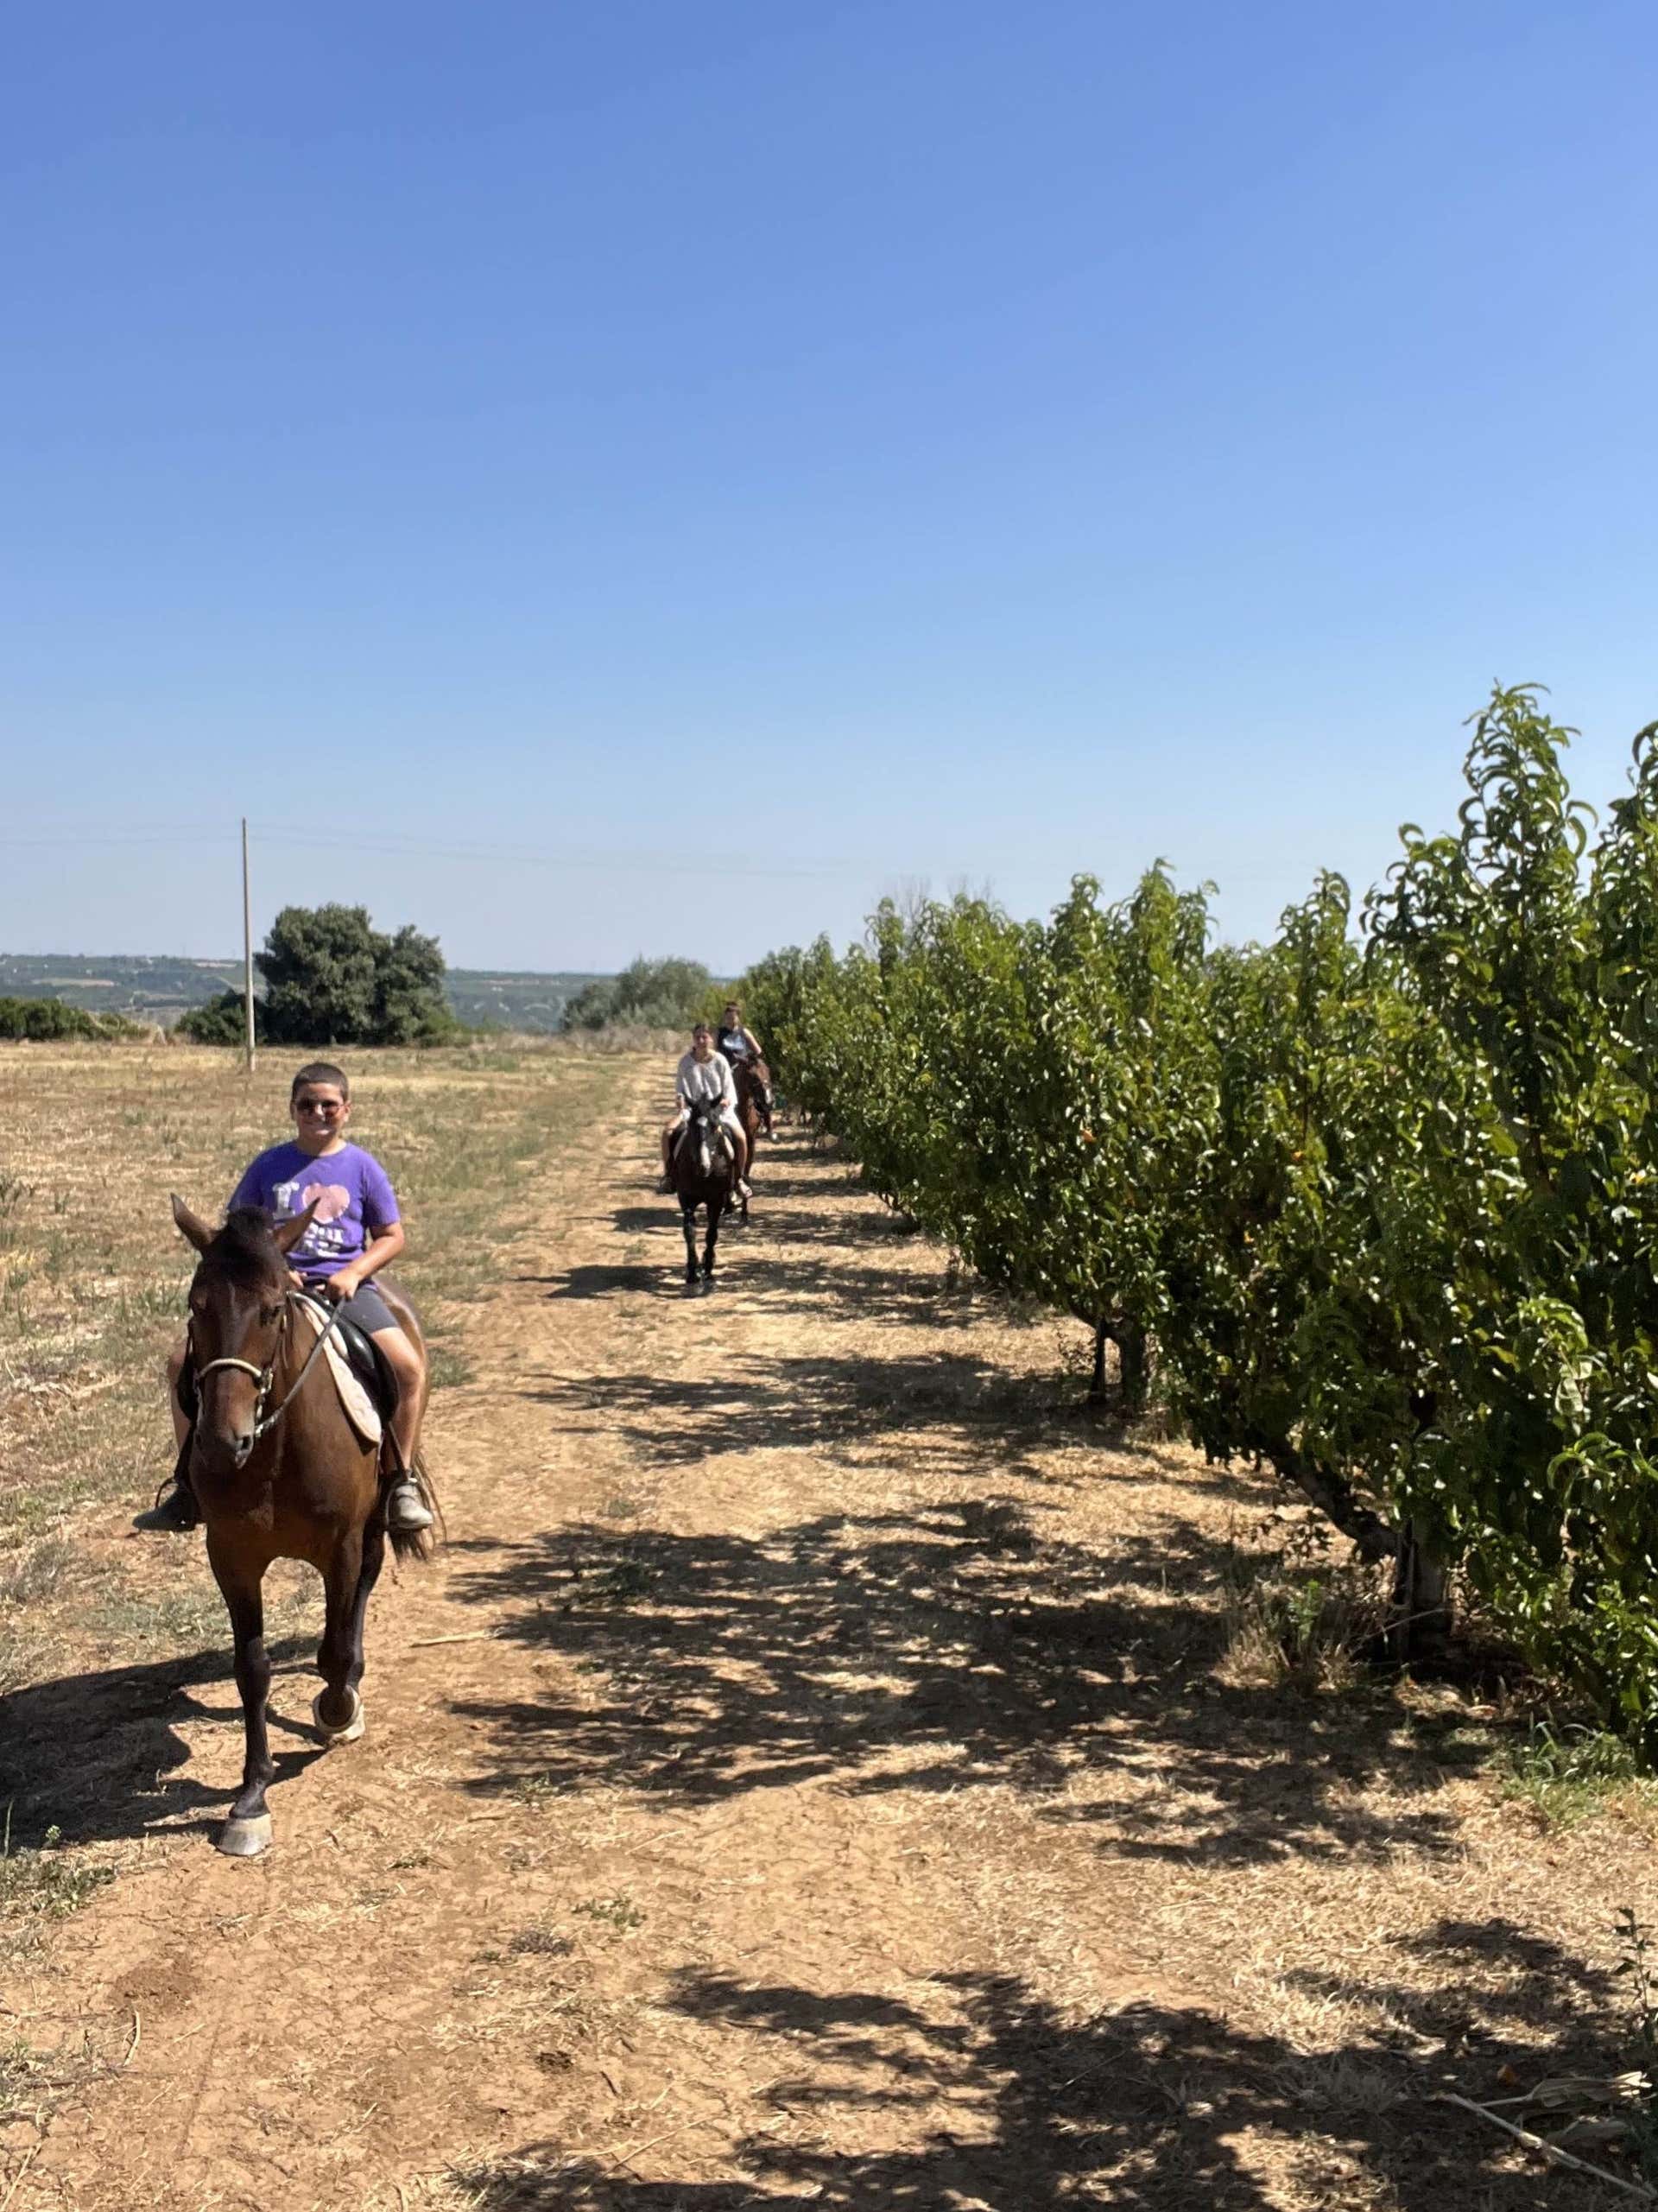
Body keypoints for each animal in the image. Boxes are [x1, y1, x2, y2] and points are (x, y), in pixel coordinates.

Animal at [169, 1195, 436, 1857]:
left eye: (272, 1308)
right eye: (196, 1305)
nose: (222, 1441)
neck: (273, 1450)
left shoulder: (339, 1546)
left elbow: (334, 1646)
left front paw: (337, 1710)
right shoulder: (232, 1556)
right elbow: (252, 1668)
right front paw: (250, 1798)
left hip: (373, 1516)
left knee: (364, 1588)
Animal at [668, 1098, 738, 1291]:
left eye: (714, 1126)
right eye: (691, 1126)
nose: (703, 1166)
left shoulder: (716, 1200)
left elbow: (711, 1233)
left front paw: (708, 1269)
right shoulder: (686, 1199)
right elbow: (690, 1232)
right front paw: (692, 1272)